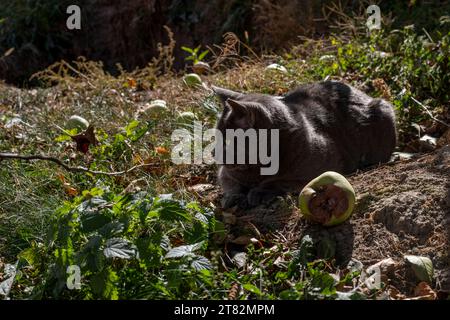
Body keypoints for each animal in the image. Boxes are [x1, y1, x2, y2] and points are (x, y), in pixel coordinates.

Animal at [213, 81, 396, 209]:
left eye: (228, 139)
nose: (213, 153)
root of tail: (364, 94)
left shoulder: (323, 168)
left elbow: (281, 181)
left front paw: (259, 191)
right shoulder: (224, 173)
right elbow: (231, 185)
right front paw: (234, 197)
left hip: (383, 109)